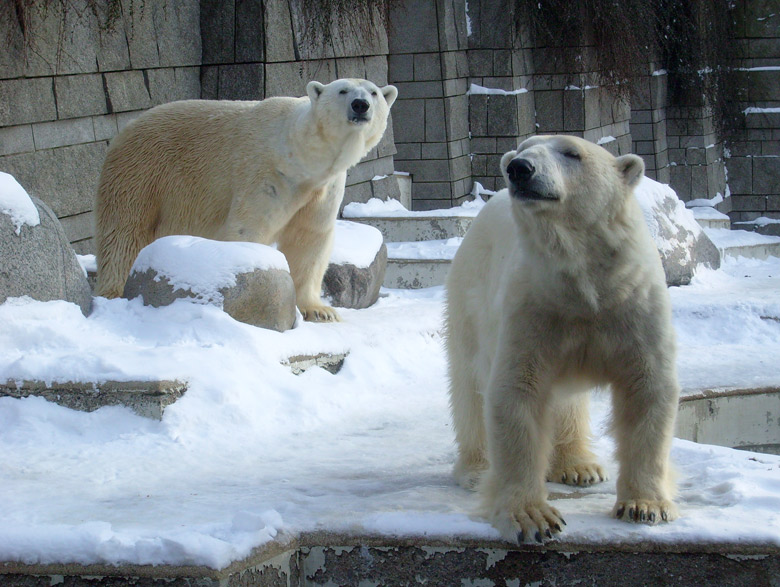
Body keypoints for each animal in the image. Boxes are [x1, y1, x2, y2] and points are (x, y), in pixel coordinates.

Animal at [97, 78, 400, 322]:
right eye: (343, 90)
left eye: (373, 92)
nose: (360, 105)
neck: (299, 158)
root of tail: (126, 129)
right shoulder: (264, 175)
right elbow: (249, 229)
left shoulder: (323, 188)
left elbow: (310, 240)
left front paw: (320, 310)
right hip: (143, 173)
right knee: (124, 233)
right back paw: (114, 291)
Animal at [448, 136, 680, 544]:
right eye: (523, 147)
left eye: (573, 153)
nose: (519, 168)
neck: (582, 274)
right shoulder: (533, 306)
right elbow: (516, 394)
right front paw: (533, 518)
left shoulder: (632, 305)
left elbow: (648, 389)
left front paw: (646, 506)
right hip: (469, 294)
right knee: (468, 384)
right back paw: (476, 469)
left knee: (566, 401)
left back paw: (579, 466)